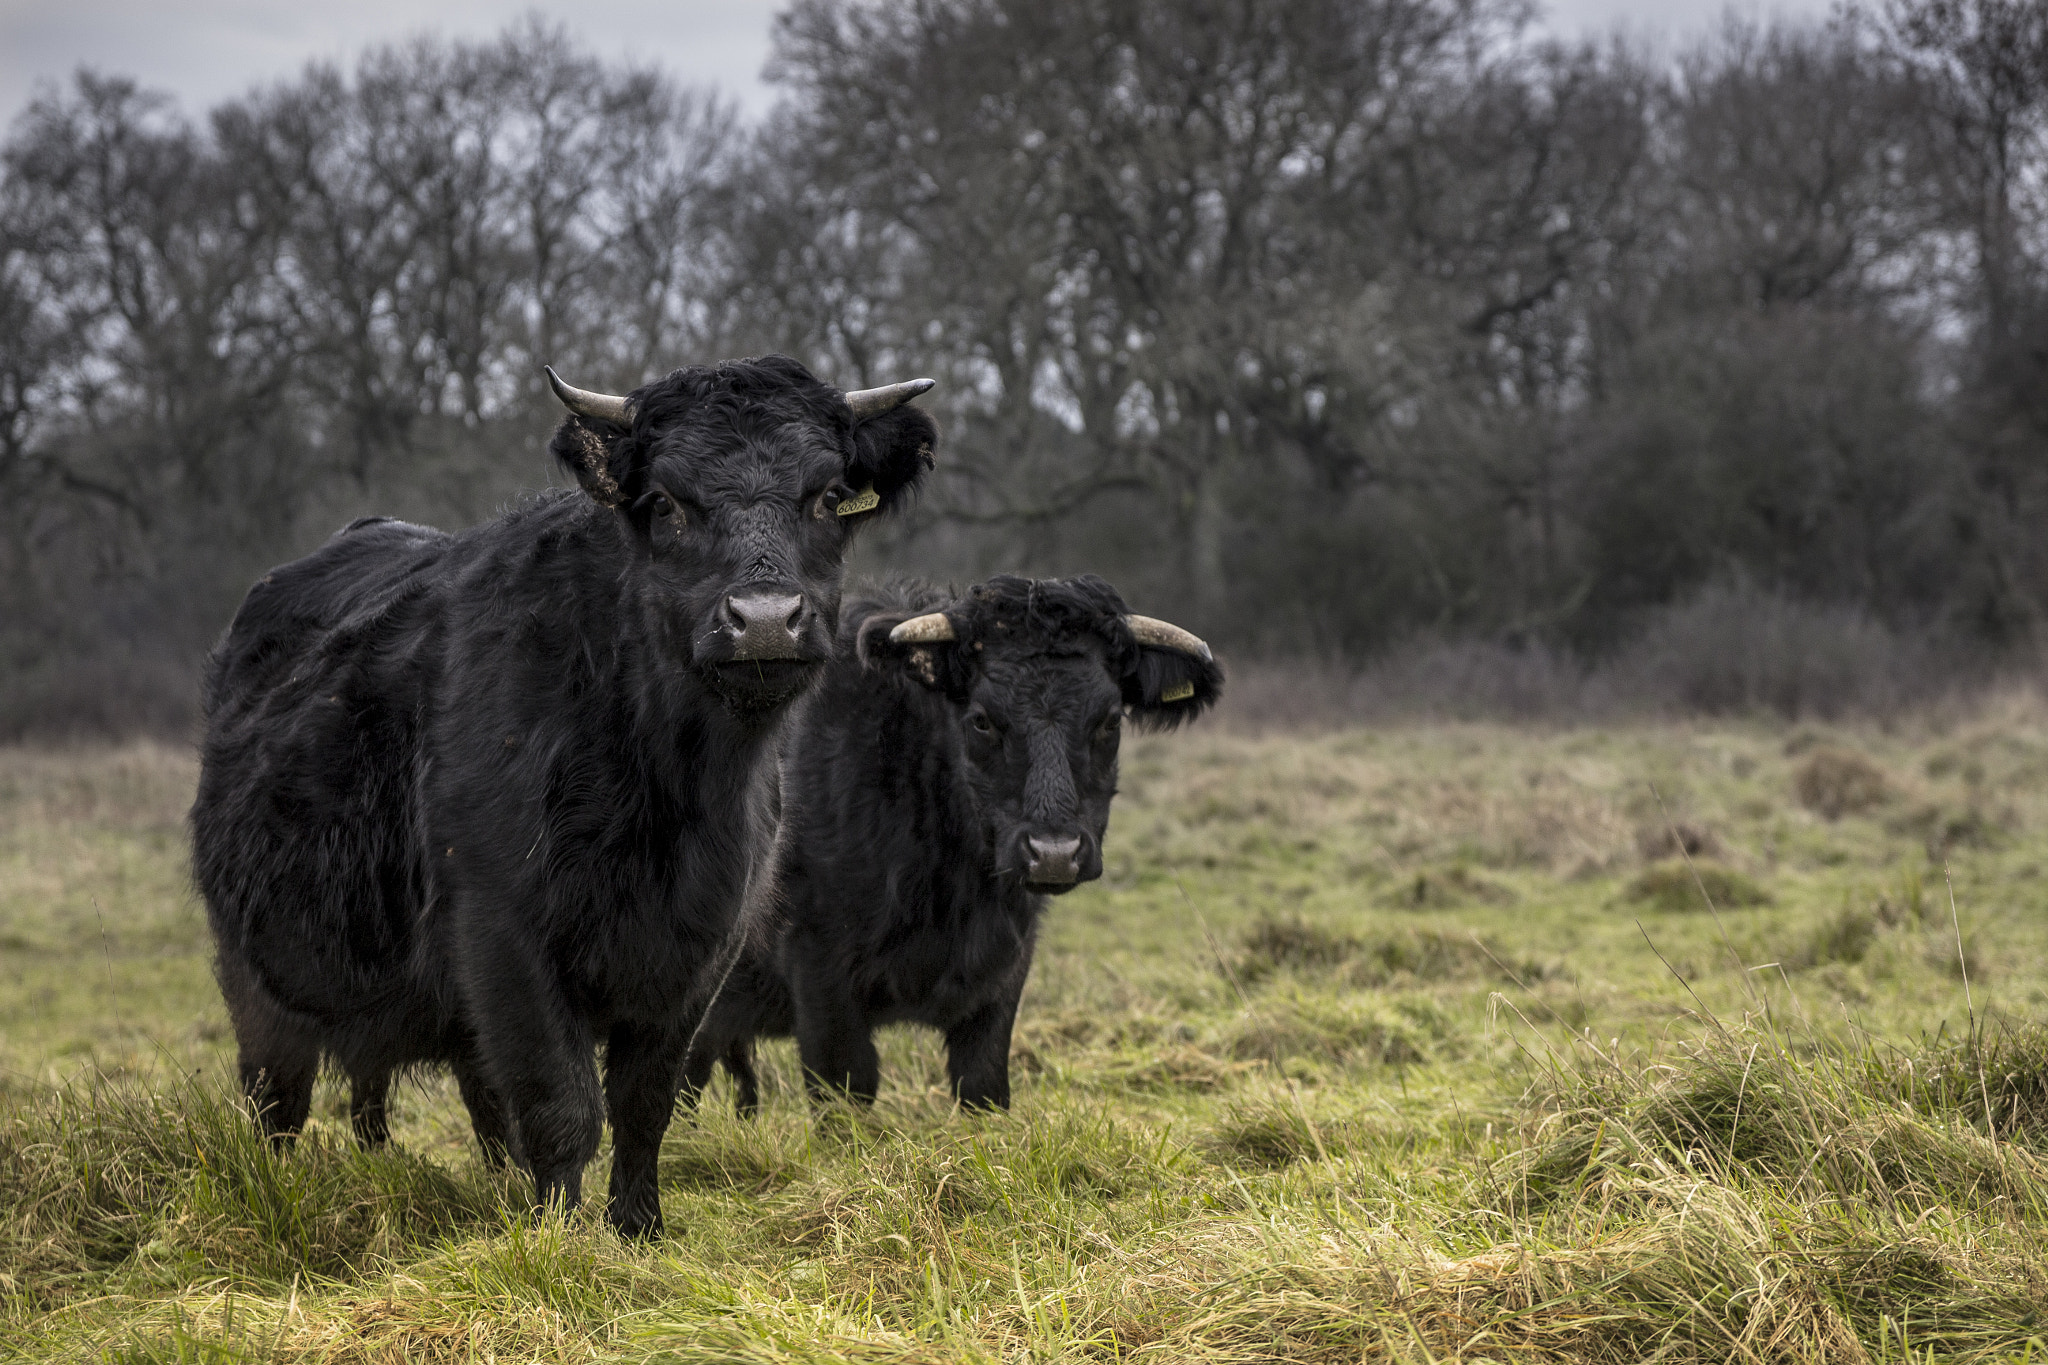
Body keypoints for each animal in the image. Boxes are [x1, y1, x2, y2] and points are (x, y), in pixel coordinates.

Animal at [188, 358, 937, 1236]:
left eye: (824, 496)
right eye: (666, 503)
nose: (763, 620)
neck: (669, 788)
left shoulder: (700, 947)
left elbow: (645, 1102)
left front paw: (638, 1226)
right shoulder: (503, 932)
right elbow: (561, 1104)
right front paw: (558, 1237)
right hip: (259, 977)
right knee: (278, 1099)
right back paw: (277, 1192)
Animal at [675, 573, 1212, 1113]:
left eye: (1110, 721)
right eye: (982, 719)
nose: (1055, 853)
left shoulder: (1004, 974)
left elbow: (983, 1085)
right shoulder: (817, 967)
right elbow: (845, 1087)